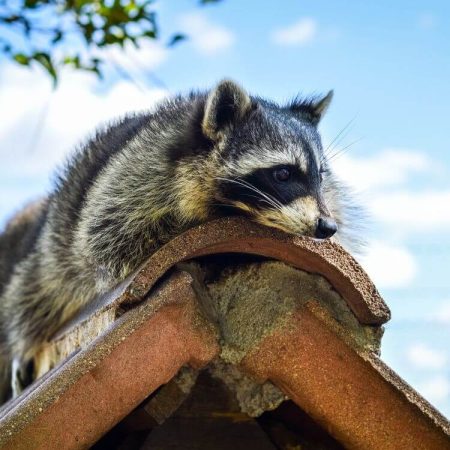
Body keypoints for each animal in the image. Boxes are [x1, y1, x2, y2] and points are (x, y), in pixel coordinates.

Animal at [0, 80, 358, 400]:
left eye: (320, 176)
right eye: (283, 174)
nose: (327, 227)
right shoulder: (129, 185)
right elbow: (112, 243)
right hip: (57, 235)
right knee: (41, 284)